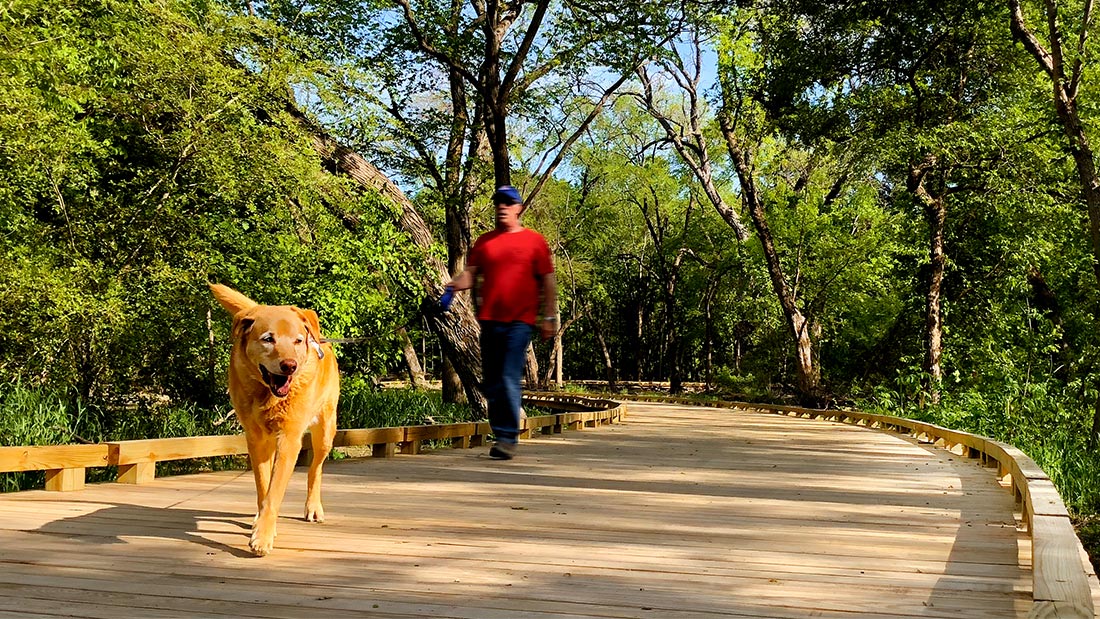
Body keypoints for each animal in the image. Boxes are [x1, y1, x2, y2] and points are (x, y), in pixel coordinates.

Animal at [207, 283, 336, 556]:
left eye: (298, 340)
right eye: (268, 339)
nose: (290, 365)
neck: (268, 396)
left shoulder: (289, 438)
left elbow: (275, 490)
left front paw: (263, 537)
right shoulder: (256, 439)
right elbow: (263, 486)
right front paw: (262, 524)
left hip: (325, 431)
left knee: (315, 468)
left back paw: (313, 506)